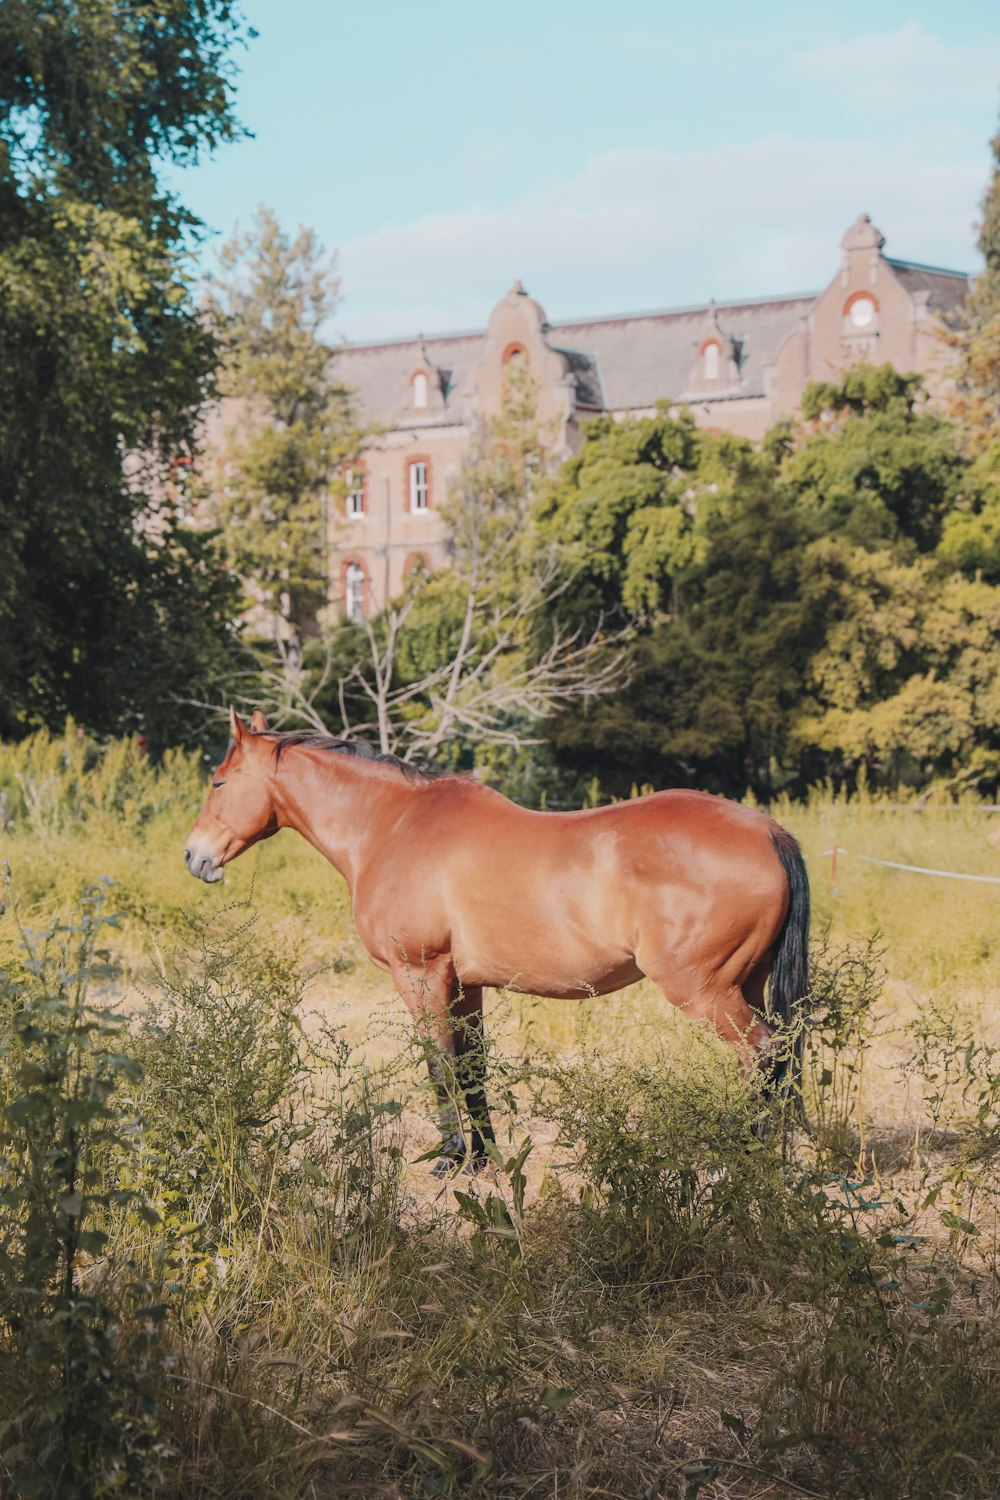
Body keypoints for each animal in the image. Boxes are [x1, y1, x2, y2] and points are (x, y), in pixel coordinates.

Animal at [185, 708, 815, 1164]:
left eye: (219, 782)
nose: (195, 857)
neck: (393, 825)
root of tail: (769, 830)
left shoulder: (421, 975)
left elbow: (438, 1064)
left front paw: (447, 1158)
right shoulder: (466, 985)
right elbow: (472, 1068)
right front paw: (485, 1158)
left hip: (704, 991)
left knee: (761, 1055)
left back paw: (739, 1150)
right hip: (746, 983)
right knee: (776, 1058)